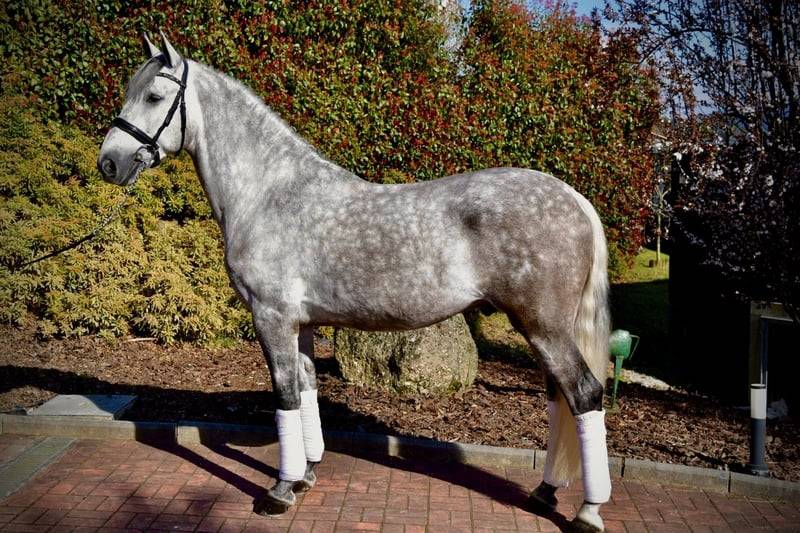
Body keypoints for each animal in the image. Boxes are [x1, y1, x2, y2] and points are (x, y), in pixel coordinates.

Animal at [98, 32, 612, 532]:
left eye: (154, 95)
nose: (109, 164)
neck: (270, 193)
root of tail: (573, 198)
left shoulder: (271, 317)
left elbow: (284, 395)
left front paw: (279, 492)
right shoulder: (301, 324)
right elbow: (306, 389)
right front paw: (305, 475)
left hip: (543, 327)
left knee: (585, 394)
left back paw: (588, 511)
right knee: (561, 398)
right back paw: (545, 491)